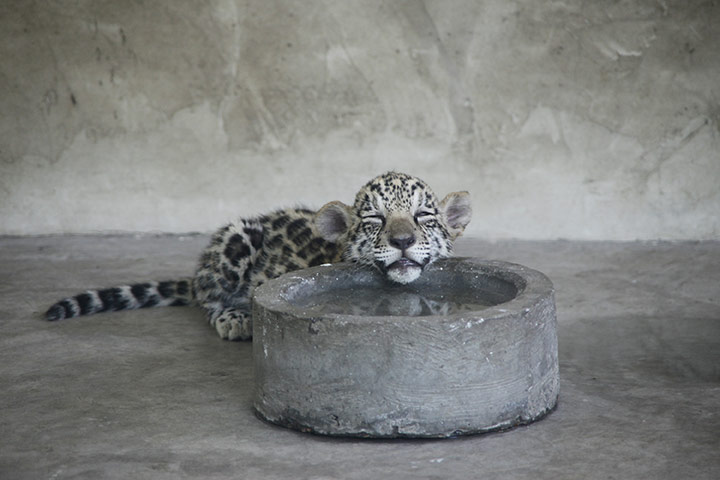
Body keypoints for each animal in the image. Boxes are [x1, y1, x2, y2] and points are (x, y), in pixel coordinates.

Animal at [45, 171, 472, 341]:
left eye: (423, 216)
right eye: (374, 220)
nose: (402, 240)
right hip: (237, 237)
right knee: (208, 298)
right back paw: (235, 319)